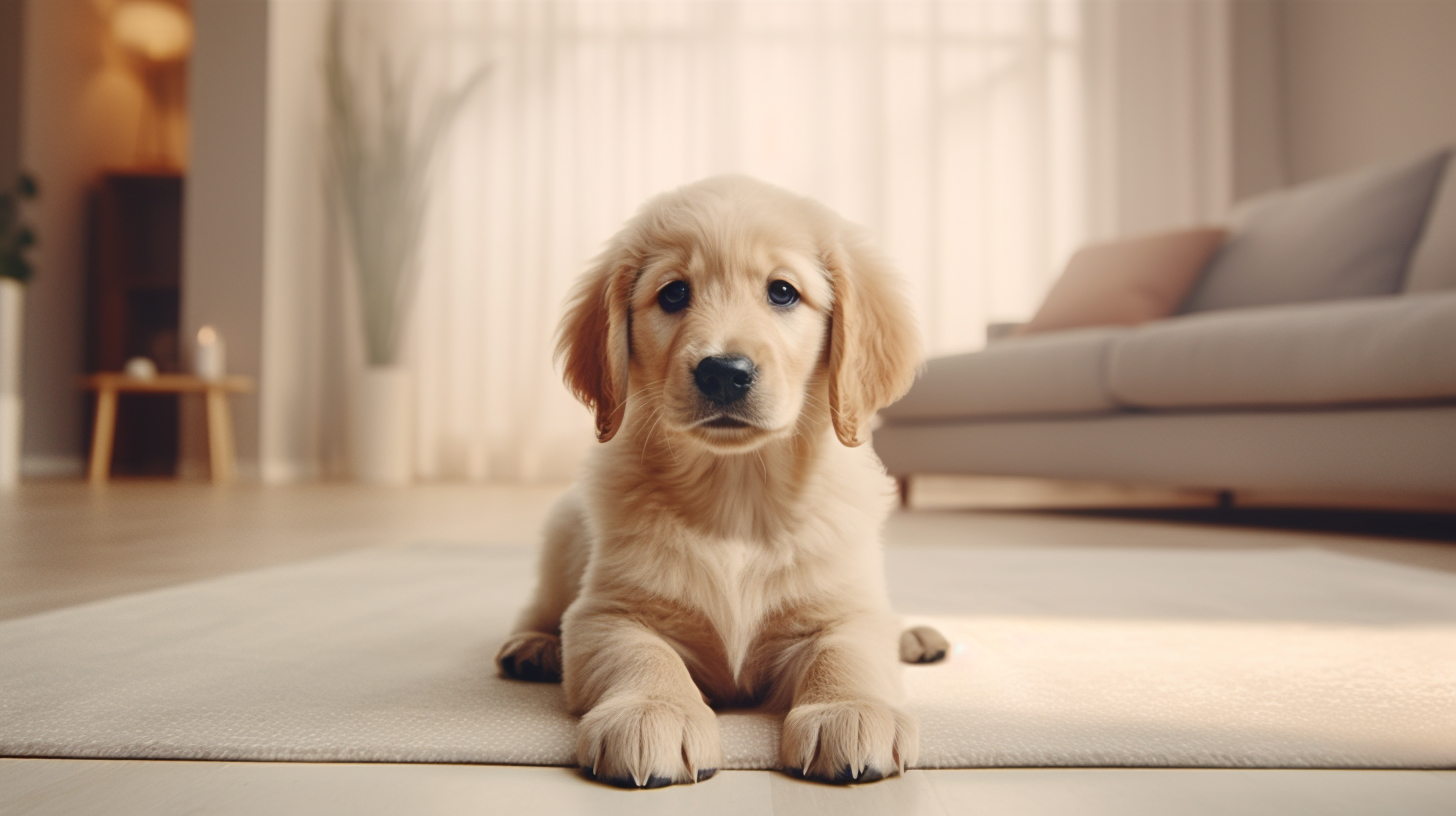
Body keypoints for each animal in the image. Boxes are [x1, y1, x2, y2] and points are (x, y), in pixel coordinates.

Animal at [495, 175, 943, 786]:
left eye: (783, 292)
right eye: (673, 294)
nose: (724, 373)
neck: (738, 494)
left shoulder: (846, 609)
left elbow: (847, 651)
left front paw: (849, 710)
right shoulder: (607, 613)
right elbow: (641, 655)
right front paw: (653, 712)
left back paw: (917, 636)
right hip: (563, 532)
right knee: (542, 607)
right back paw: (533, 646)